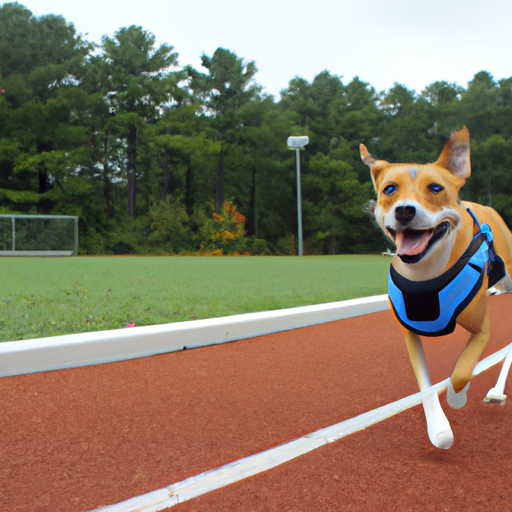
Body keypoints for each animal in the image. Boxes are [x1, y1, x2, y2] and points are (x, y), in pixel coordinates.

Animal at [360, 127, 512, 448]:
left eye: (435, 188)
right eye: (389, 189)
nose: (405, 210)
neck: (426, 271)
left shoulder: (482, 330)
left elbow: (461, 371)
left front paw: (456, 398)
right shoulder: (409, 334)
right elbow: (425, 384)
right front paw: (439, 429)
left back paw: (496, 391)